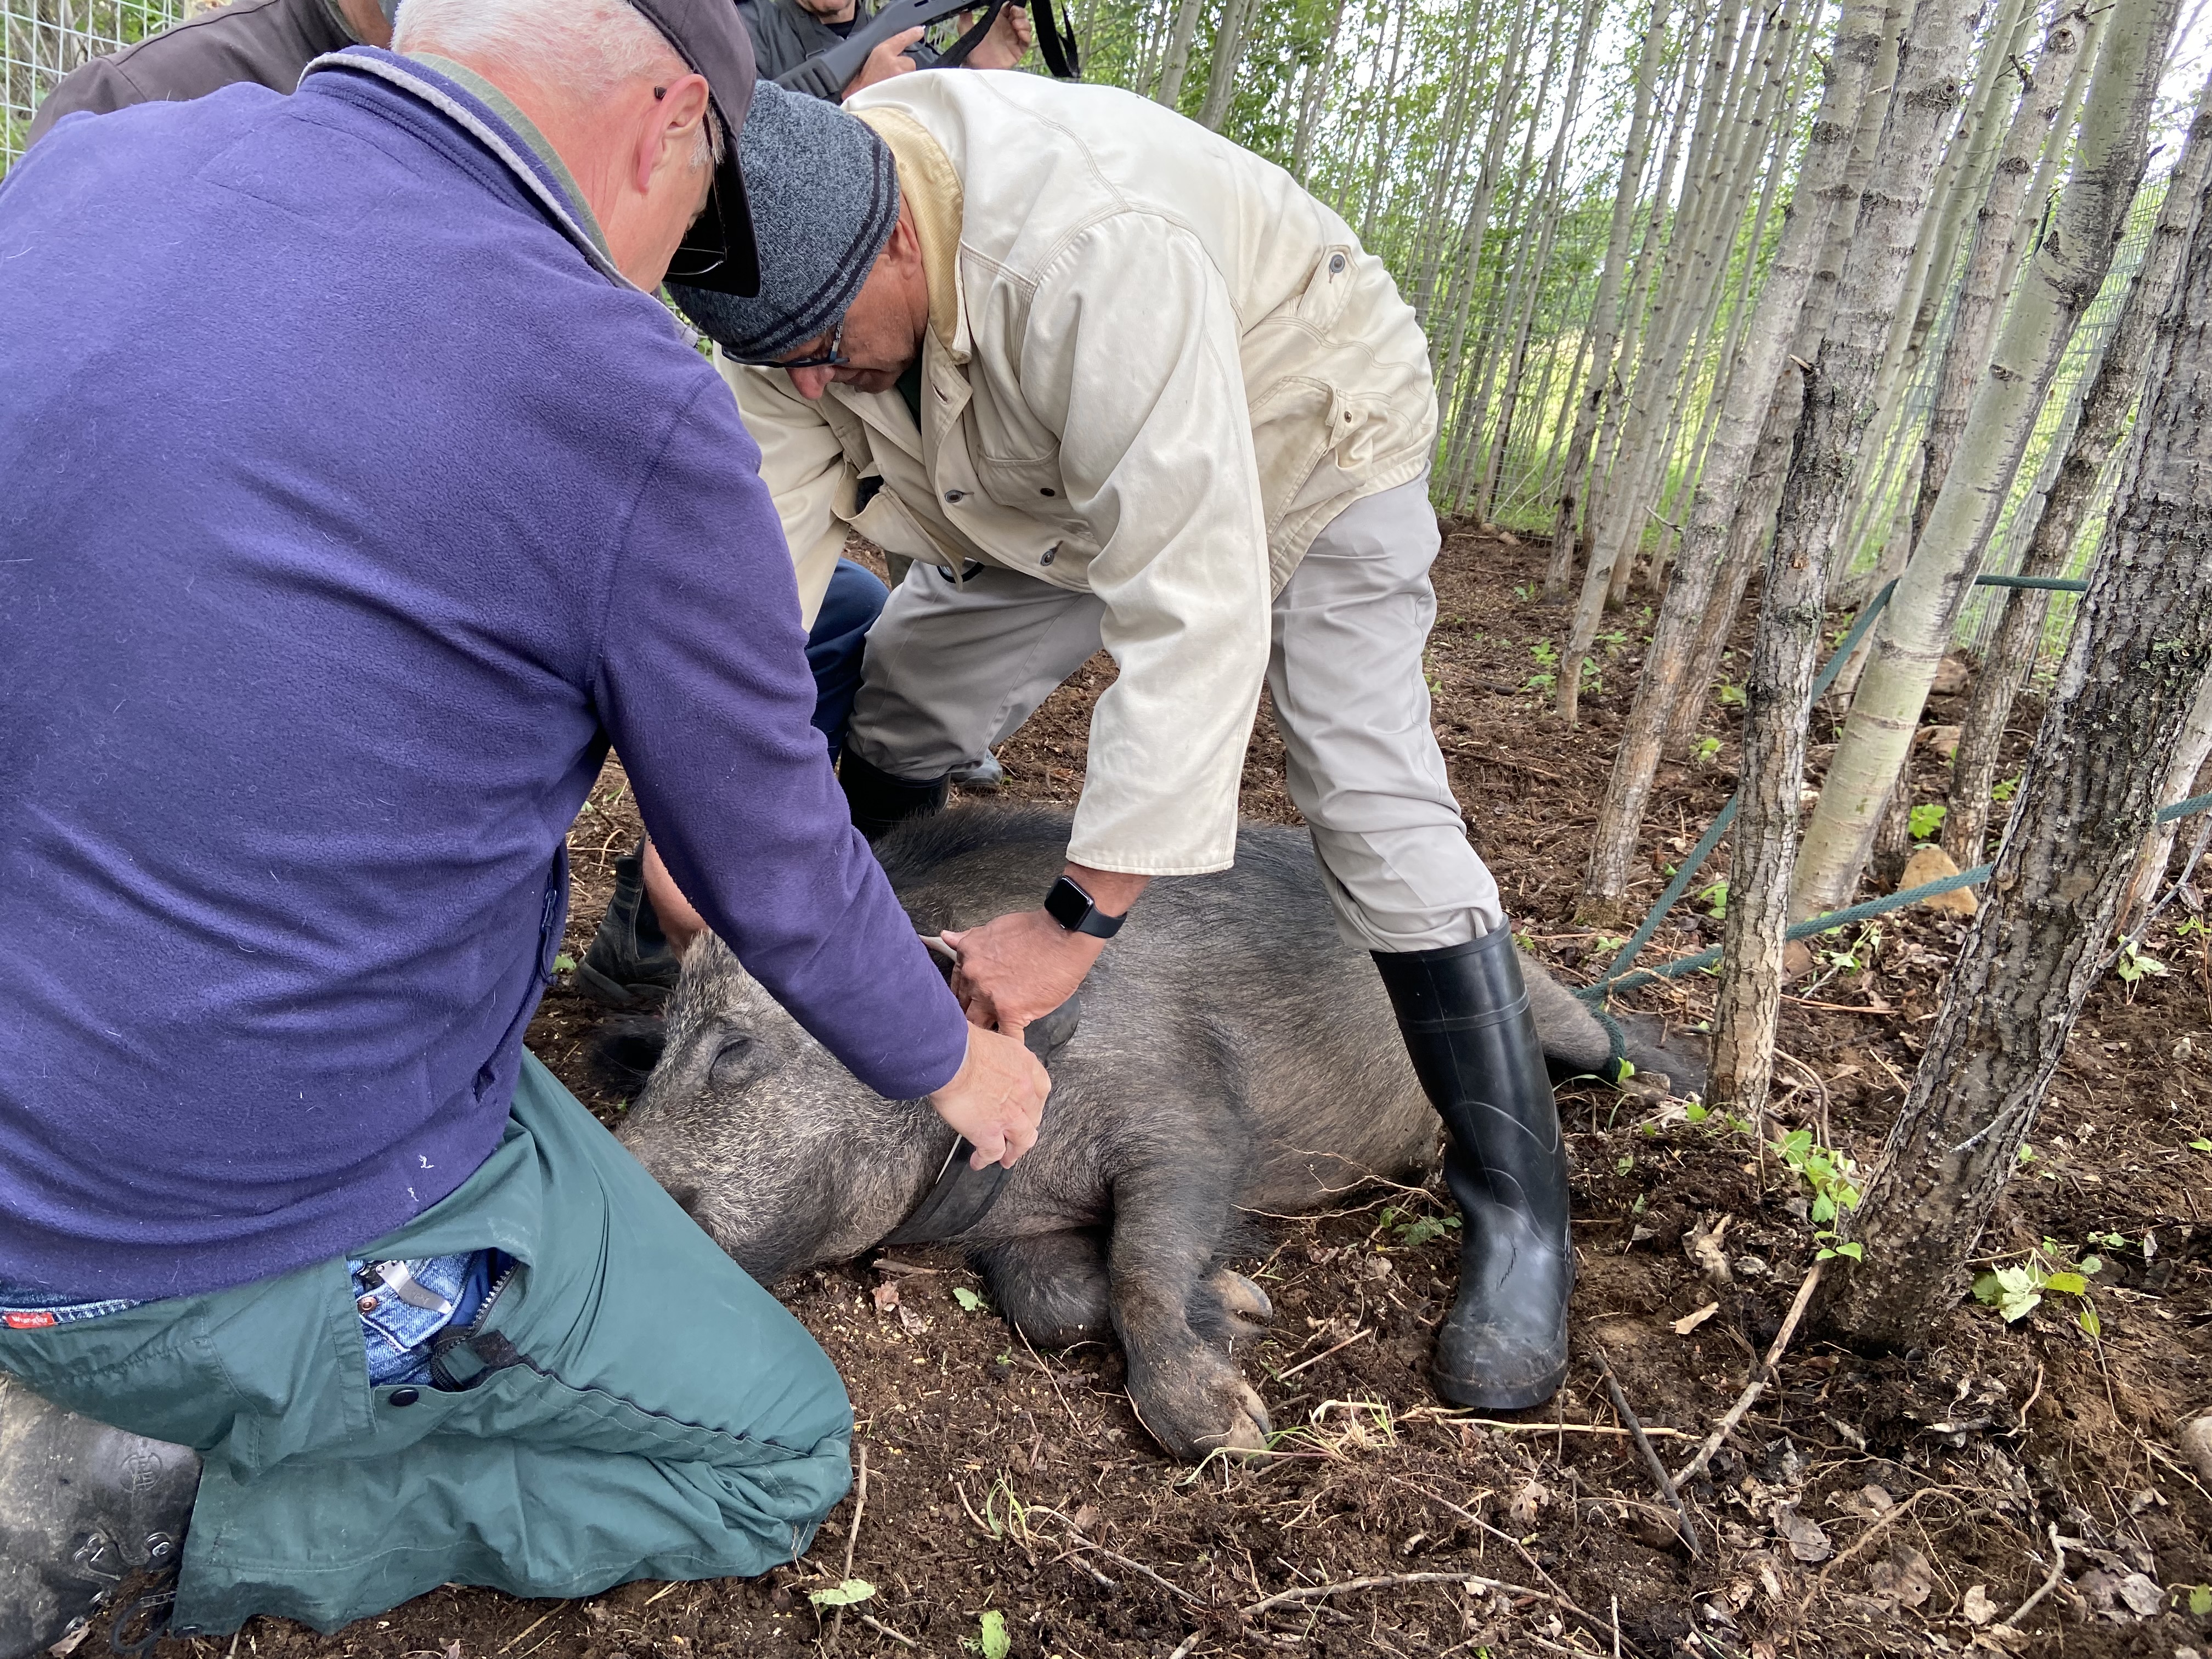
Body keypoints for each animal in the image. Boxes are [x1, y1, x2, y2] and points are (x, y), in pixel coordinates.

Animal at [616, 805, 1703, 1460]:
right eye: (658, 1048)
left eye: (733, 1048)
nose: (624, 1179)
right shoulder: (1016, 1230)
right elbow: (1050, 1301)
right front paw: (1243, 1308)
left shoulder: (1187, 1113)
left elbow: (1145, 1254)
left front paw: (1229, 1429)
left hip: (1537, 996)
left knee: (1594, 1036)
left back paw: (1676, 1086)